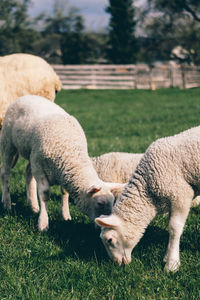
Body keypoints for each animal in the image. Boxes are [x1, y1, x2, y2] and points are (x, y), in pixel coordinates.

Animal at [0, 95, 125, 231]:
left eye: (112, 203)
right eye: (100, 203)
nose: (104, 226)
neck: (69, 151)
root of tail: (27, 96)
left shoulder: (62, 171)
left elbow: (64, 193)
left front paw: (65, 216)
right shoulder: (39, 169)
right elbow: (45, 194)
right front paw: (43, 224)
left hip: (31, 153)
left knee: (28, 171)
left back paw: (33, 206)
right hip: (8, 143)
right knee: (5, 173)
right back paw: (7, 203)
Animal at [95, 125, 200, 274]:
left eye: (109, 240)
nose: (116, 264)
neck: (148, 189)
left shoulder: (181, 194)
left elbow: (174, 228)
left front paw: (172, 264)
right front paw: (167, 257)